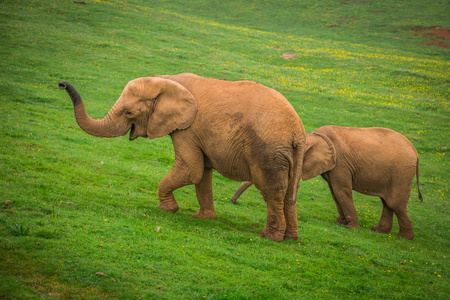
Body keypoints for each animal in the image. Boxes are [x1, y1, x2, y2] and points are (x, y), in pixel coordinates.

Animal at [59, 74, 306, 243]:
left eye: (129, 113)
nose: (61, 84)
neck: (167, 80)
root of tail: (298, 131)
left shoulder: (187, 129)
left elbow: (191, 169)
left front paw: (167, 209)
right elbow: (202, 174)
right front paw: (203, 218)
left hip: (268, 152)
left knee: (272, 190)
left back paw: (268, 236)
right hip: (291, 155)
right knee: (290, 193)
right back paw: (290, 238)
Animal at [230, 125, 424, 240]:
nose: (232, 202)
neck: (314, 135)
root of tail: (416, 152)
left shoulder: (341, 164)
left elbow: (341, 190)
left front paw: (351, 228)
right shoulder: (333, 166)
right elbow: (334, 191)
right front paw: (341, 222)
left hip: (401, 173)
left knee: (395, 203)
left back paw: (404, 237)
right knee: (387, 202)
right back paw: (378, 231)